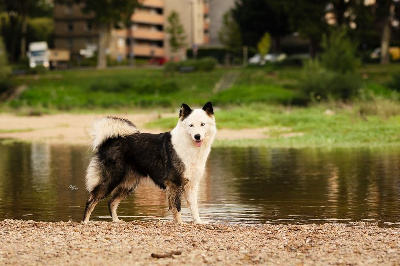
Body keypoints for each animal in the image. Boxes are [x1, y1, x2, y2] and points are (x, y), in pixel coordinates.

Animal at [82, 103, 217, 223]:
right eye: (191, 125)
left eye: (202, 124)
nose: (197, 136)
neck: (188, 147)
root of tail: (109, 141)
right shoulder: (174, 183)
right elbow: (177, 207)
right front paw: (180, 223)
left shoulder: (192, 185)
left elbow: (194, 207)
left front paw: (198, 222)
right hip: (110, 180)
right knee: (91, 201)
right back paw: (85, 222)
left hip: (128, 184)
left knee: (111, 202)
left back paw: (116, 221)